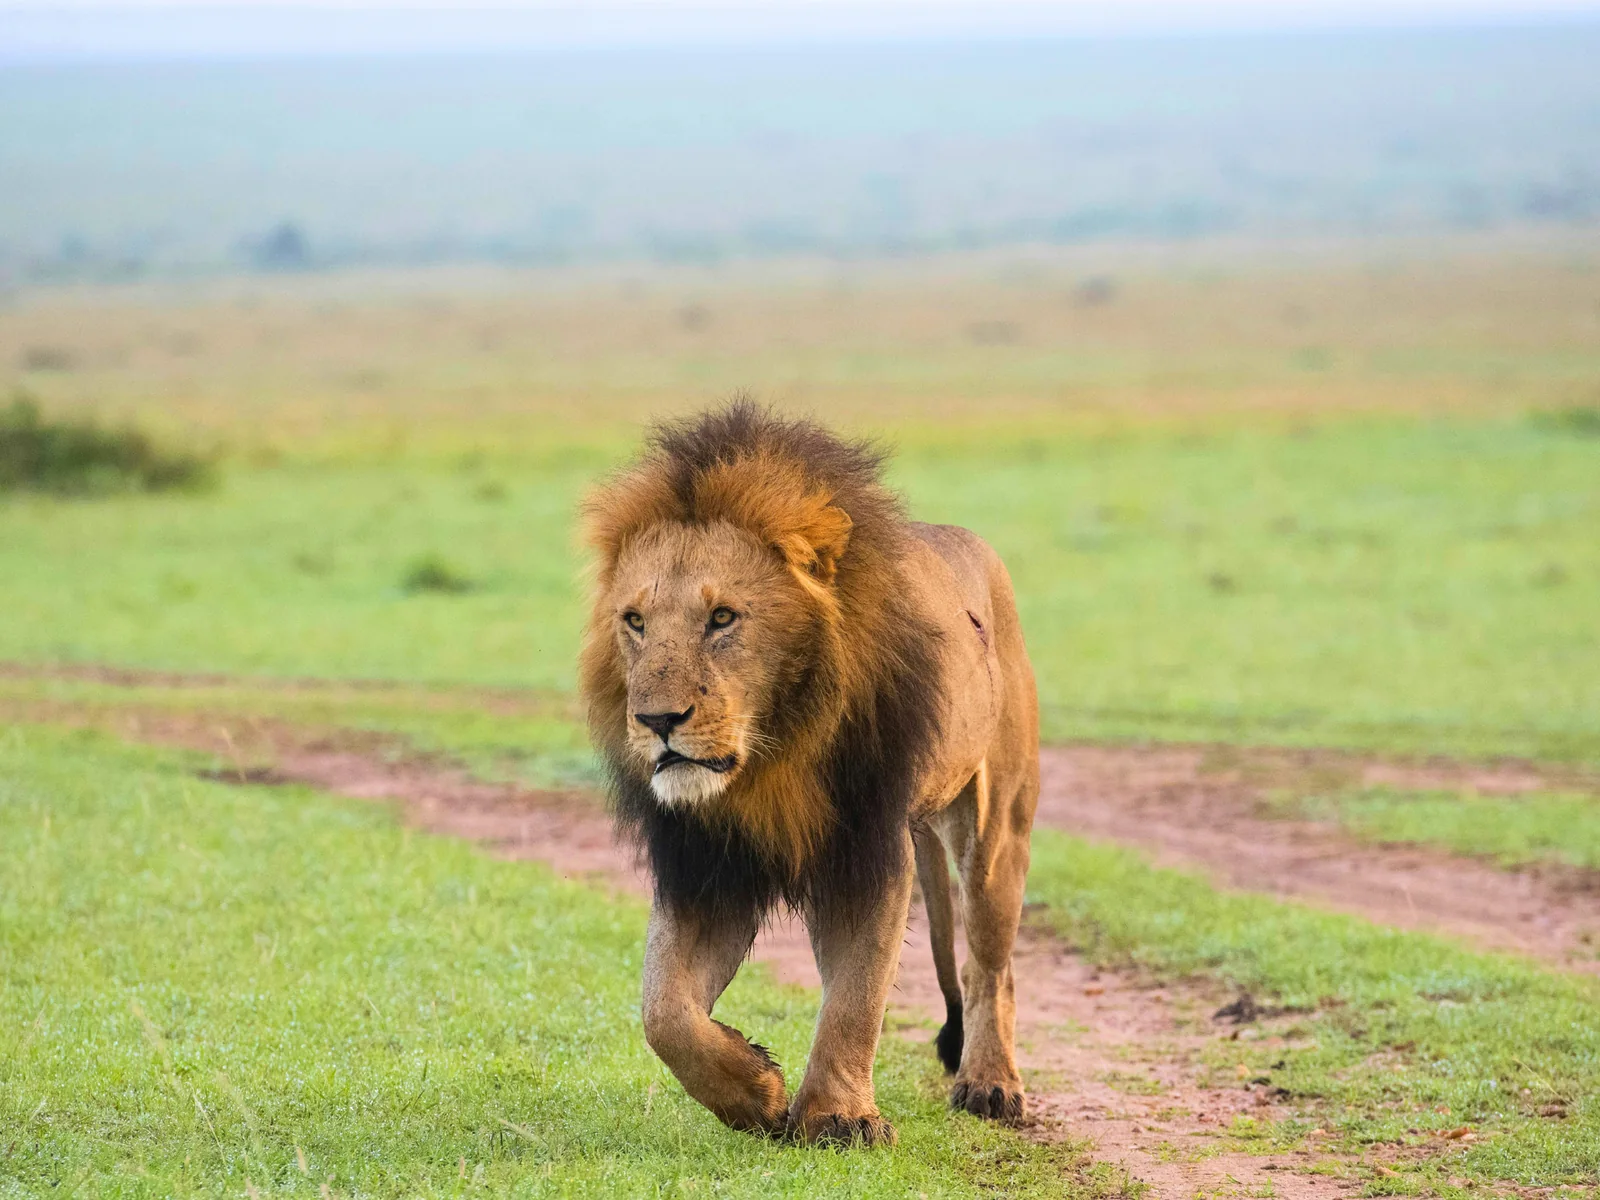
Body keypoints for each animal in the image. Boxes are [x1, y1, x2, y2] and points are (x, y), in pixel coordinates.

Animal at [579, 402, 1039, 1146]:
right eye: (636, 621)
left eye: (723, 617)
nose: (657, 720)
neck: (772, 753)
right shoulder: (704, 863)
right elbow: (664, 1011)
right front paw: (755, 1092)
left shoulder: (866, 849)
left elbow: (856, 995)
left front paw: (838, 1119)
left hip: (997, 827)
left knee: (990, 966)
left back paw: (990, 1084)